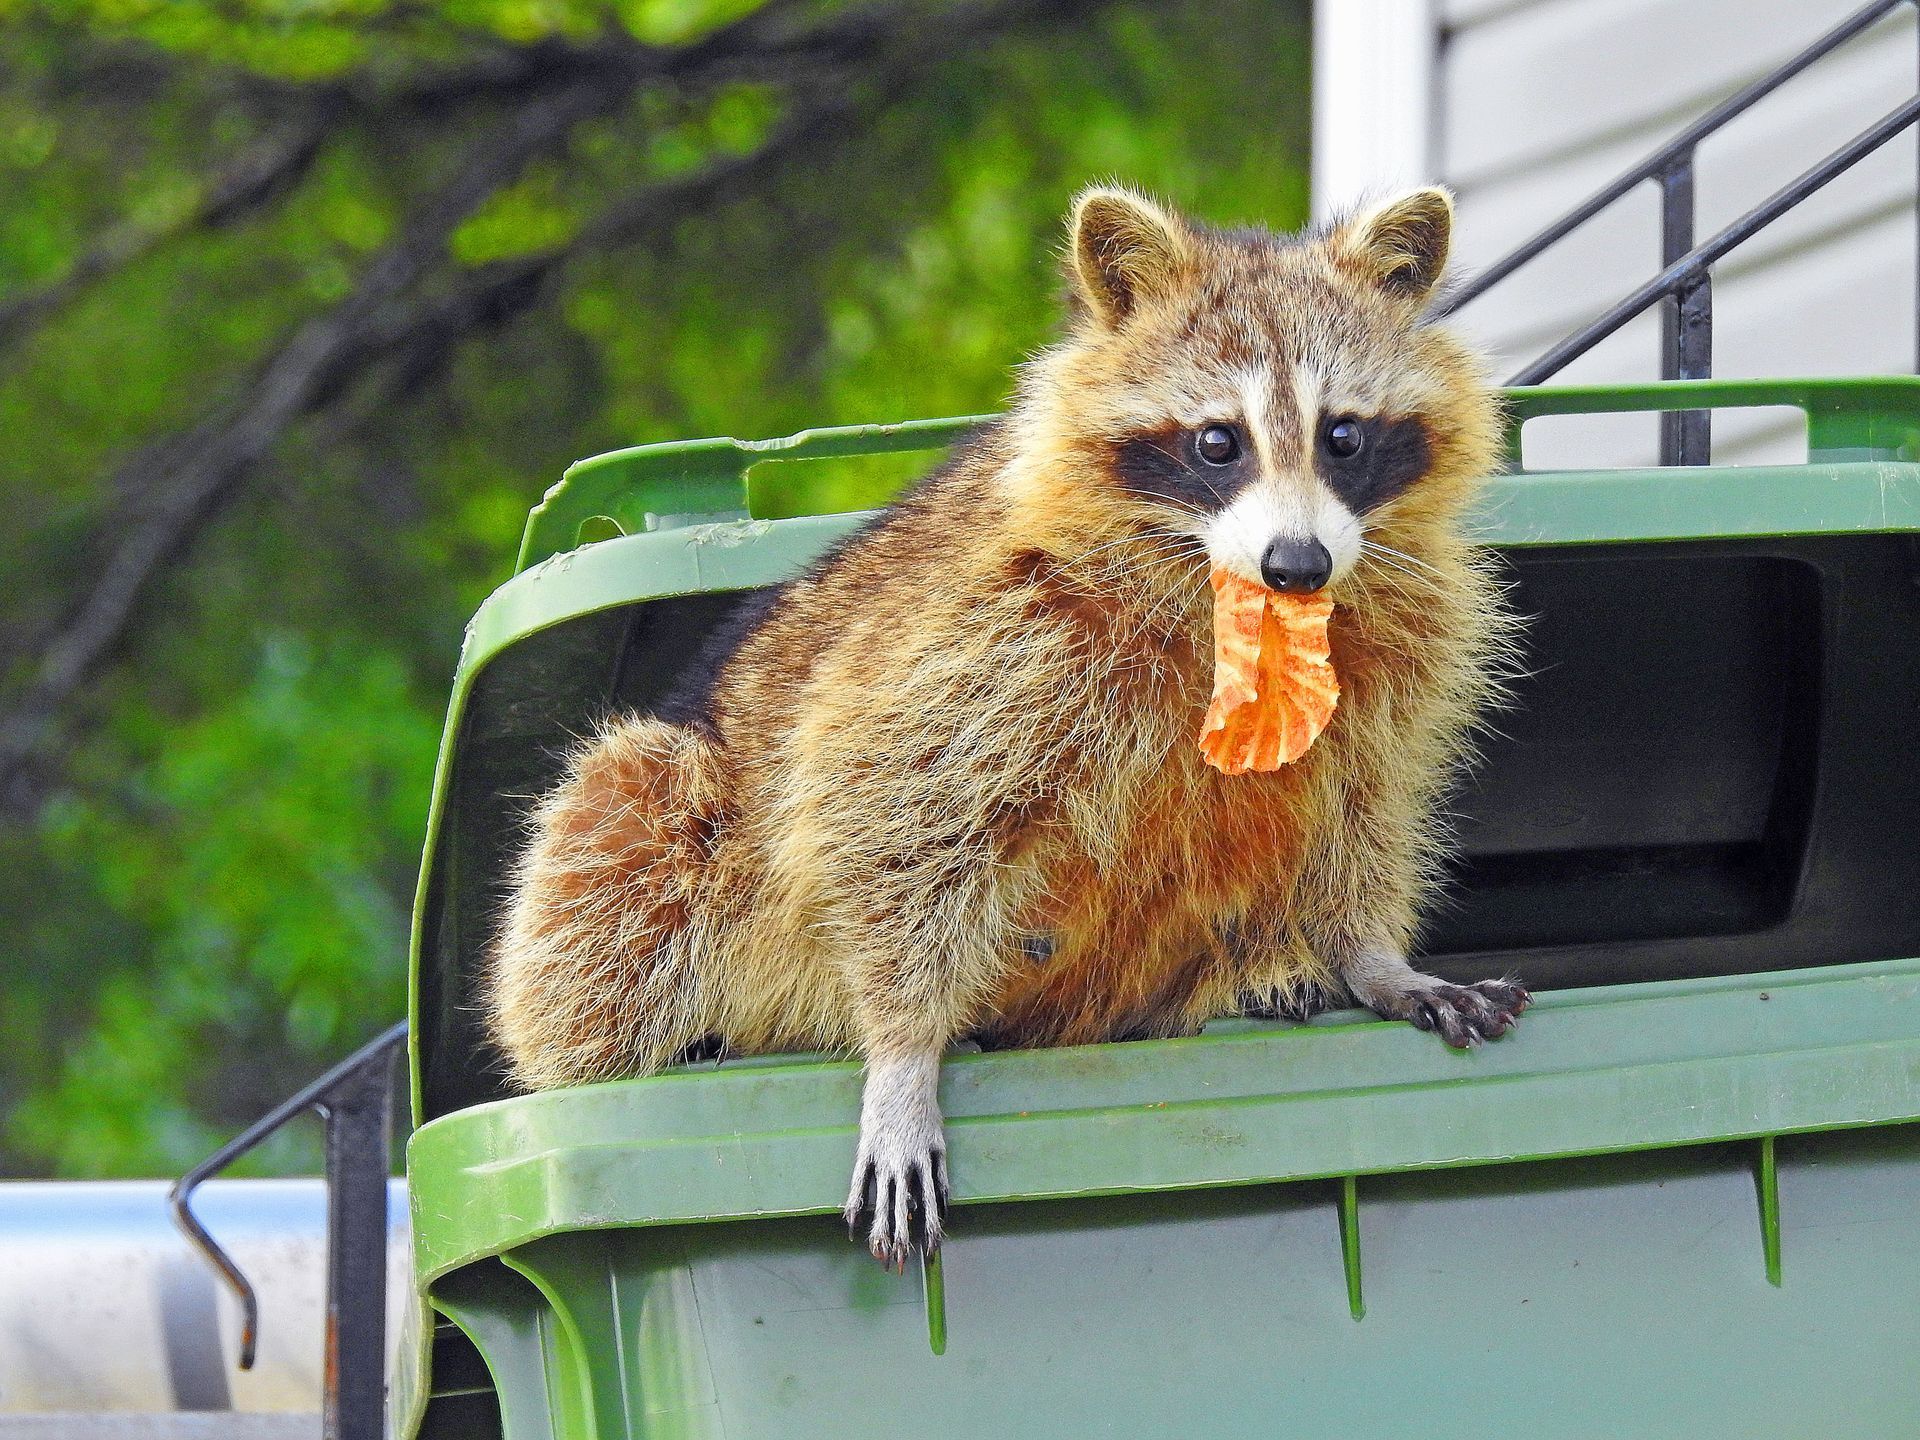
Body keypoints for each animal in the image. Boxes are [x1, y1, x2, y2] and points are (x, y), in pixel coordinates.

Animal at [486, 185, 1527, 1268]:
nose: (1298, 564)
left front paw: (1369, 956)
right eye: (1218, 442)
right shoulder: (989, 630)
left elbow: (1359, 805)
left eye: (1344, 436)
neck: (1240, 602)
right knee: (622, 829)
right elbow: (878, 799)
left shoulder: (1396, 650)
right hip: (663, 818)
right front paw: (901, 1053)